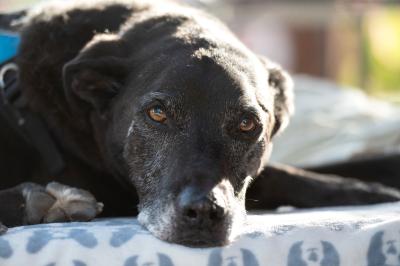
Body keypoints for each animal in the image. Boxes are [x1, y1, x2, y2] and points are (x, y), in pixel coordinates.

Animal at [0, 0, 400, 247]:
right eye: (157, 113)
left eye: (247, 124)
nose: (203, 213)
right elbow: (279, 176)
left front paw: (368, 184)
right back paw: (46, 204)